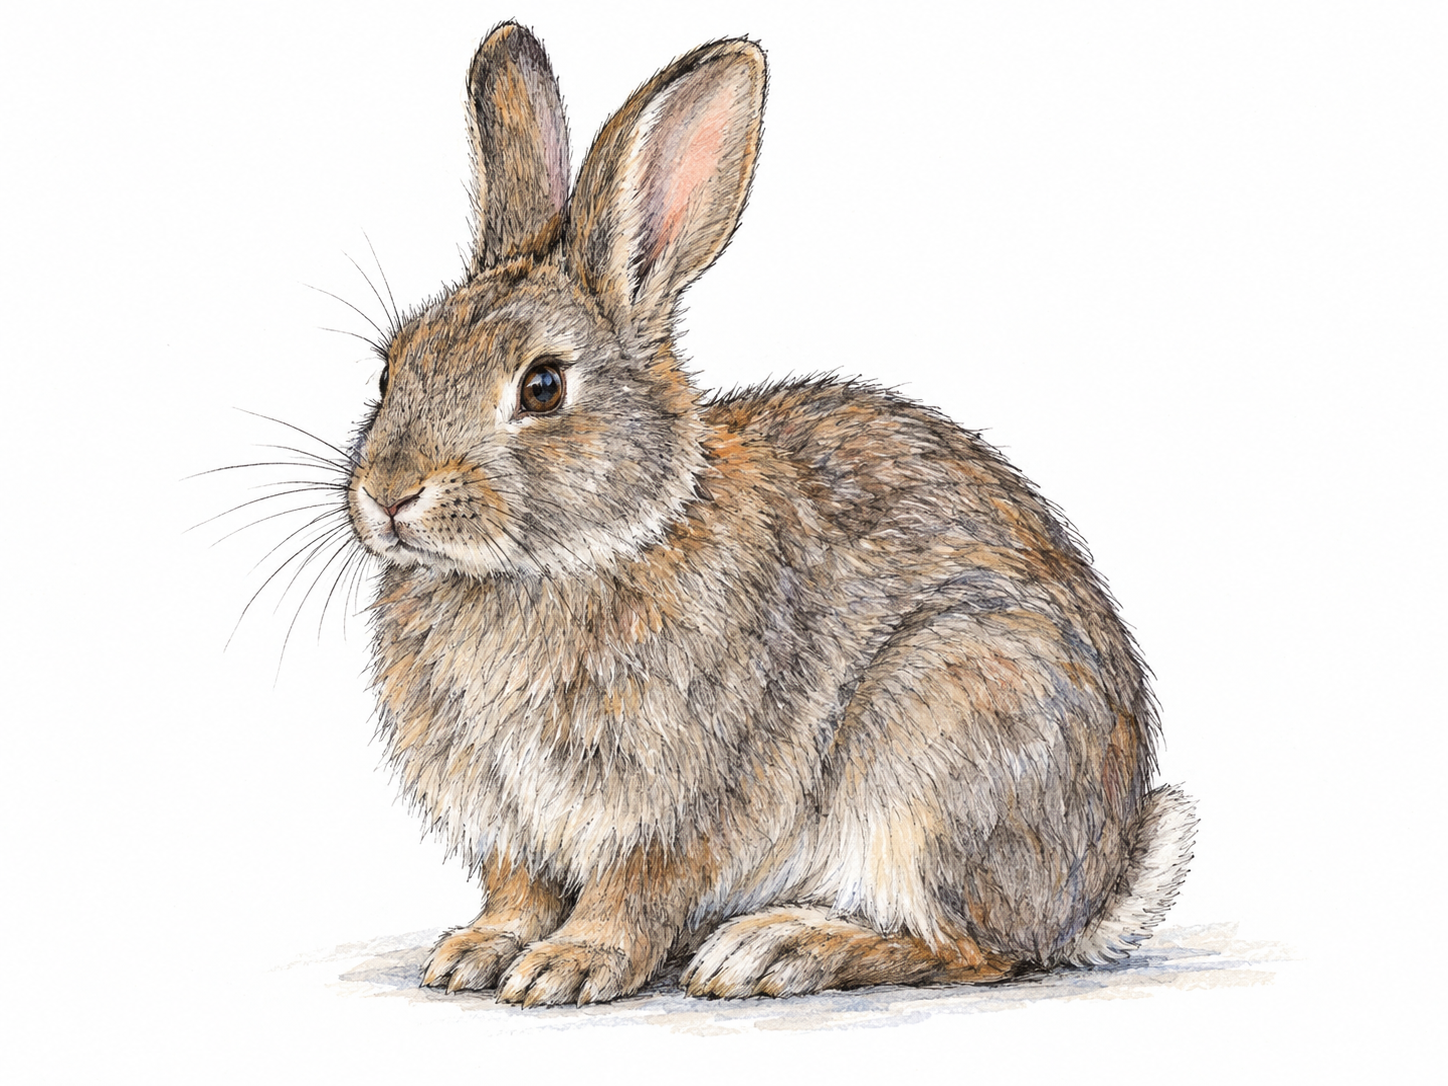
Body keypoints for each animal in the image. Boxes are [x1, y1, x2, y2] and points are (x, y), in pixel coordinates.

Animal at [342, 22, 1196, 1006]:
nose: (389, 494)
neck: (581, 552)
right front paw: (475, 953)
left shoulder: (677, 801)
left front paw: (567, 965)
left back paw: (778, 948)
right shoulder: (514, 826)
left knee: (971, 949)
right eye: (390, 368)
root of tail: (1095, 887)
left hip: (942, 743)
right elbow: (517, 889)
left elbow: (632, 893)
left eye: (544, 386)